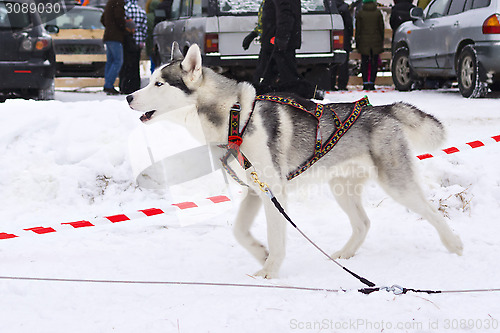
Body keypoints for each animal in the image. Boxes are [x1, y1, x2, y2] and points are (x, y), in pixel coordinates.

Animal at [127, 43, 462, 278]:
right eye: (150, 80)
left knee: (431, 211)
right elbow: (240, 231)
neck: (236, 119)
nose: (129, 97)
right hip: (342, 189)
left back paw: (454, 245)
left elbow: (276, 237)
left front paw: (270, 271)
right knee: (363, 223)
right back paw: (344, 255)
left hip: (397, 184)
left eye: (159, 84)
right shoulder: (255, 190)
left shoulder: (273, 191)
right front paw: (260, 253)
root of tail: (383, 108)